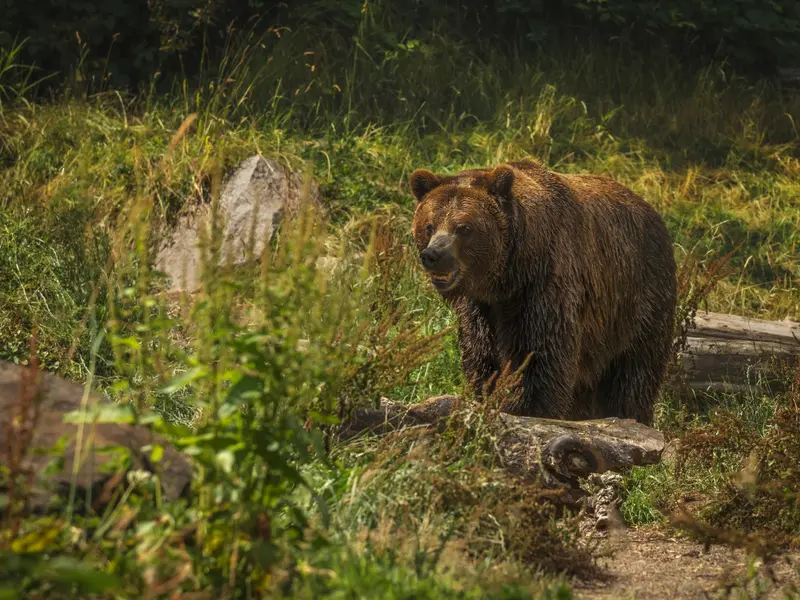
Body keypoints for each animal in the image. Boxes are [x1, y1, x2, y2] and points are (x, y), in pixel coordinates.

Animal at [410, 157, 680, 424]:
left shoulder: (543, 286)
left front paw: (522, 407)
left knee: (634, 372)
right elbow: (481, 354)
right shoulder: (480, 307)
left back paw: (629, 414)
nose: (433, 255)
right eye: (429, 226)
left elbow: (538, 355)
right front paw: (485, 393)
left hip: (638, 300)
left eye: (464, 228)